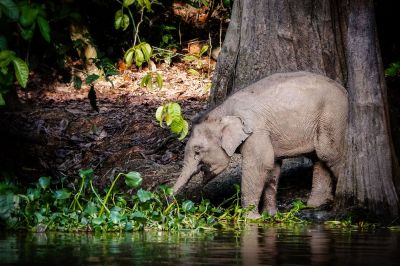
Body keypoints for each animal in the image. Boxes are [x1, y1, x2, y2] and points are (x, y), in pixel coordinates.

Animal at [172, 70, 346, 218]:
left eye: (197, 151)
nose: (170, 200)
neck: (223, 112)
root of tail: (344, 90)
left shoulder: (256, 131)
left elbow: (260, 164)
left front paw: (251, 219)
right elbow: (272, 166)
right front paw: (270, 215)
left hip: (333, 116)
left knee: (329, 154)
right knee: (320, 157)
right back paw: (315, 206)